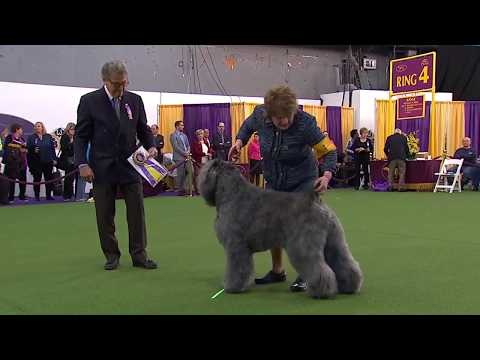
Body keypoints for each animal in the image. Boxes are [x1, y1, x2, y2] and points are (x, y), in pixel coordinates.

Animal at [199, 160, 364, 298]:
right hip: (334, 242)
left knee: (319, 268)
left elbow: (237, 269)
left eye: (205, 169)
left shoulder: (236, 247)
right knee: (344, 264)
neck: (232, 192)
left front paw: (232, 286)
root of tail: (314, 199)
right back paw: (349, 286)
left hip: (303, 246)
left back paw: (321, 291)